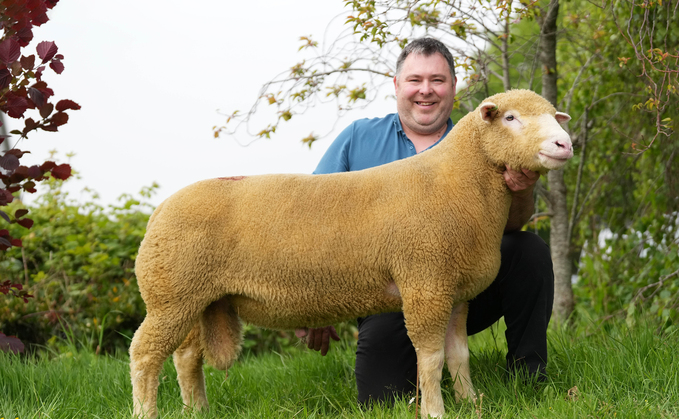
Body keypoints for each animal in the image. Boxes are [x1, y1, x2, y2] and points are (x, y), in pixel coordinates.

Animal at [129, 88, 572, 416]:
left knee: (186, 358)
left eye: (553, 115)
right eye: (511, 118)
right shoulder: (425, 282)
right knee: (145, 354)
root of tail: (159, 210)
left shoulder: (455, 291)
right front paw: (435, 410)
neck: (458, 182)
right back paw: (146, 411)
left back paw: (196, 410)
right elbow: (430, 358)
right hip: (171, 296)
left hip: (197, 297)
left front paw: (471, 403)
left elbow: (458, 355)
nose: (564, 144)